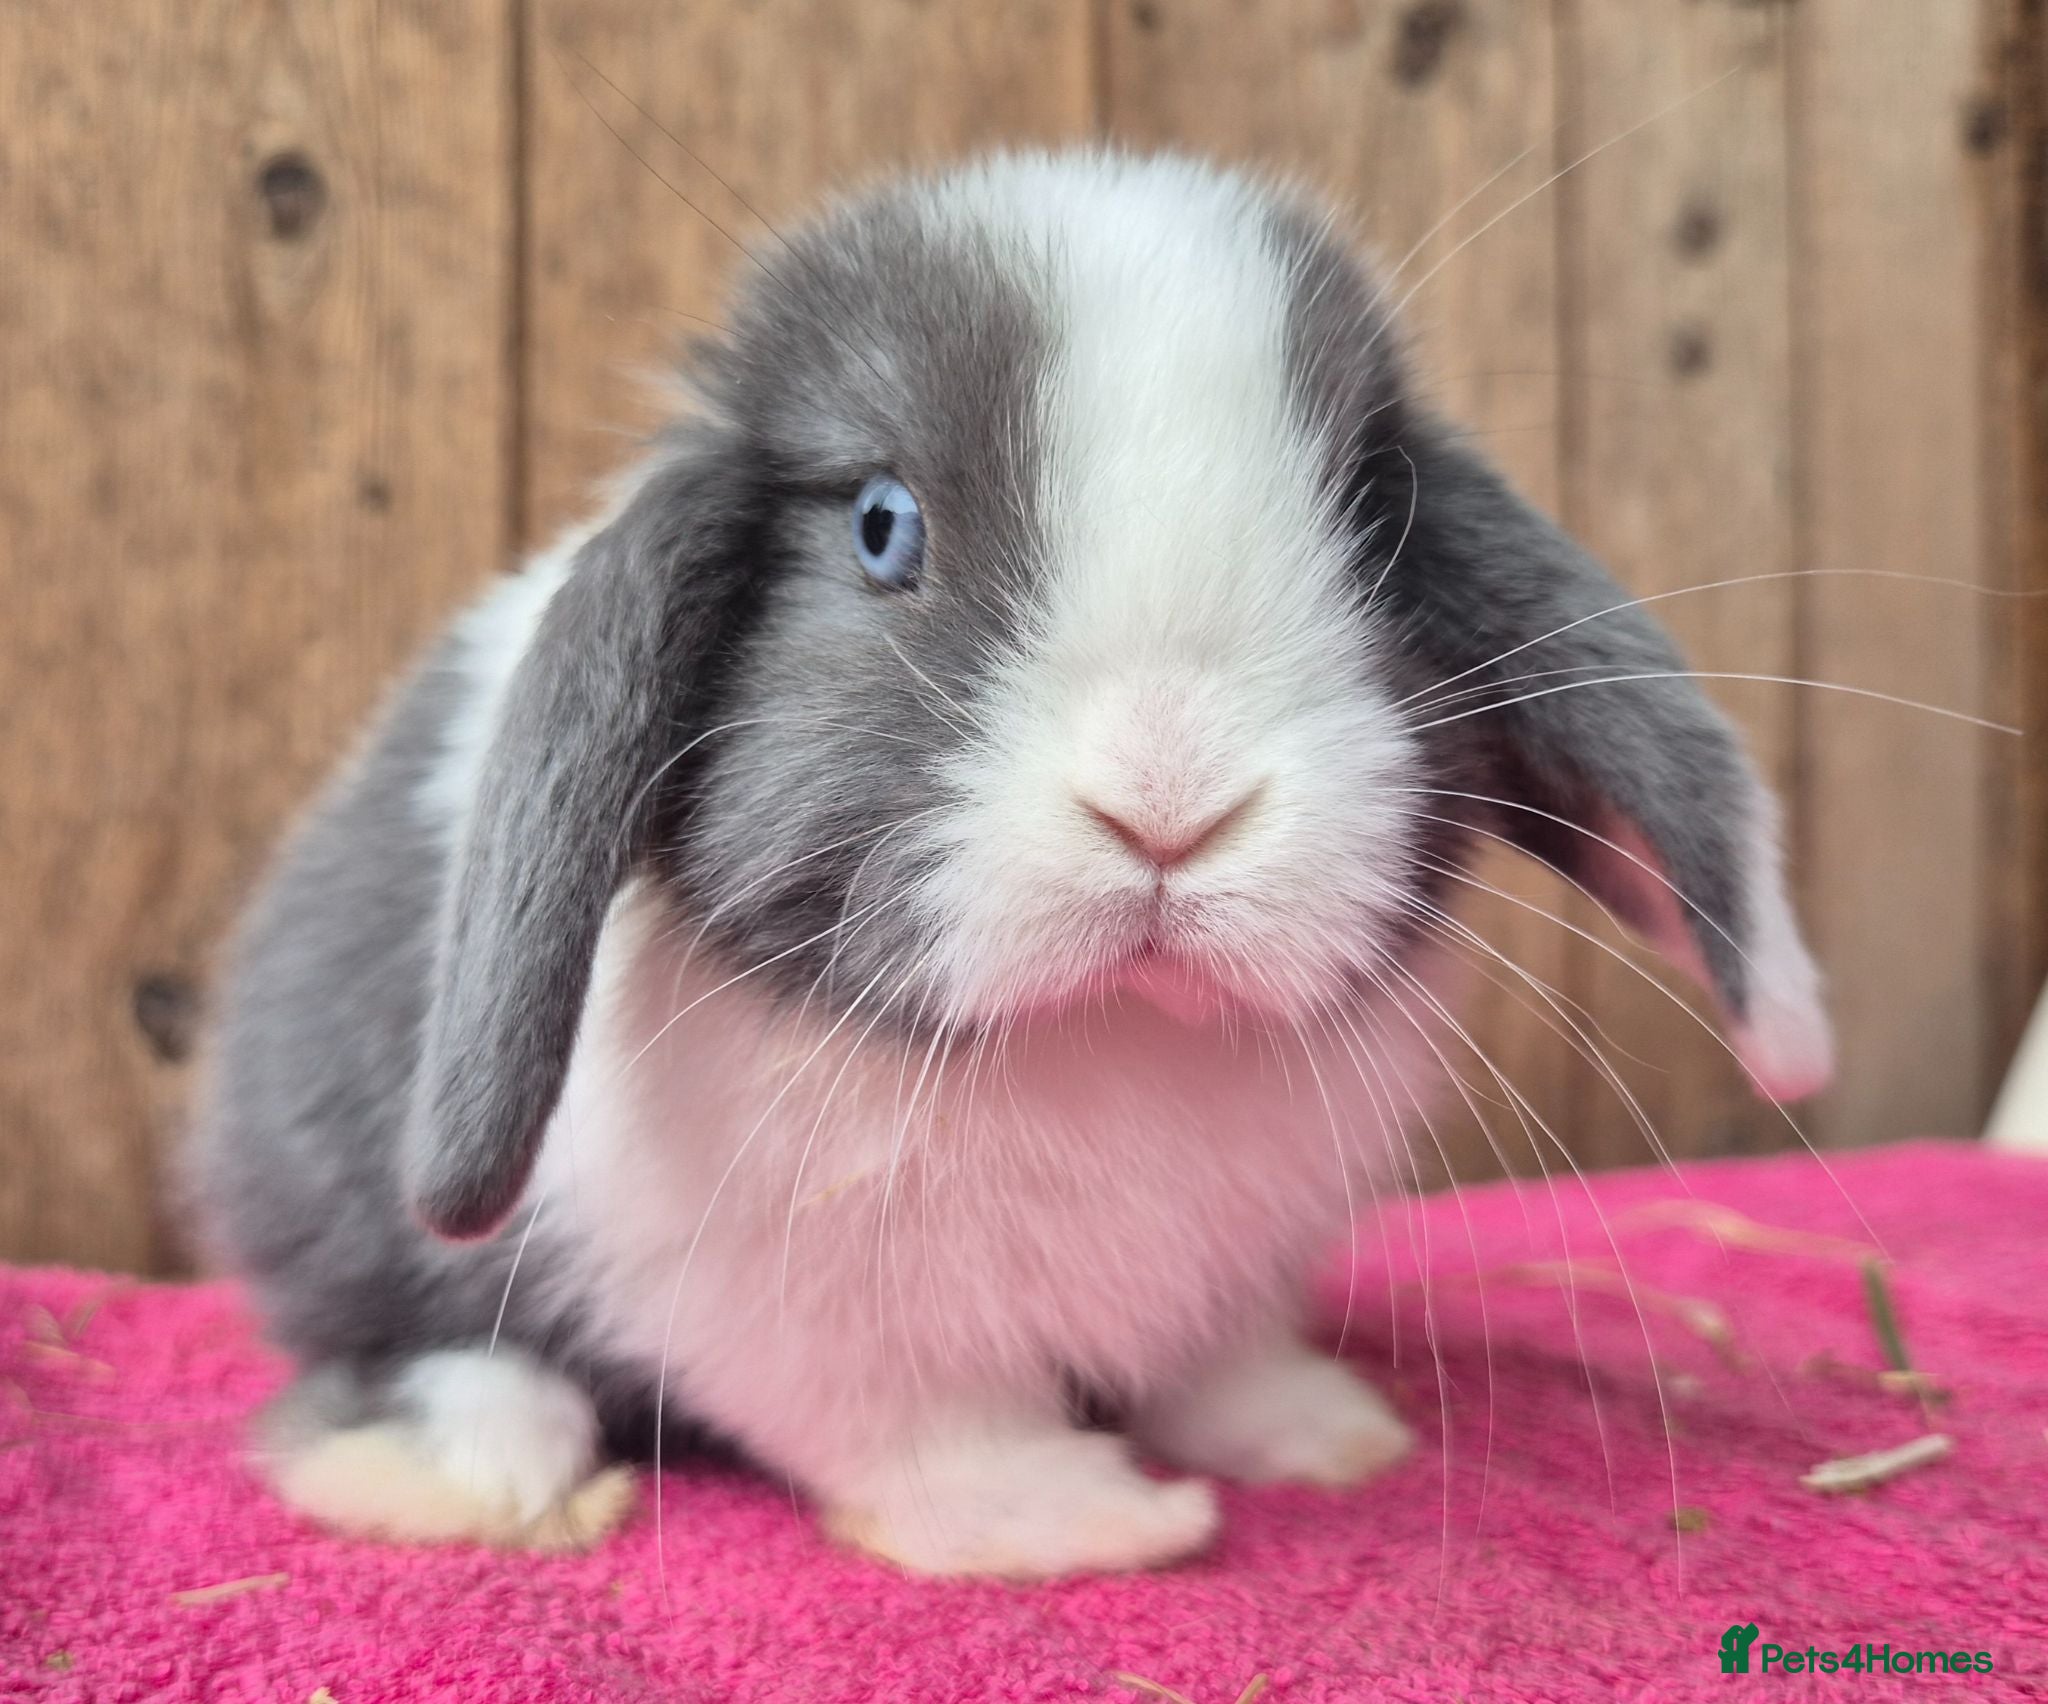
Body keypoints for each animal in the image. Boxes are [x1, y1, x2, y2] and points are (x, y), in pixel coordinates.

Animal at [191, 150, 1833, 1580]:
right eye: (881, 526)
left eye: (1371, 522)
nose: (1169, 804)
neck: (1101, 1040)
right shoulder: (791, 1316)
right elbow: (929, 1435)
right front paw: (1095, 1519)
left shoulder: (1232, 1269)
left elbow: (1219, 1363)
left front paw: (1320, 1436)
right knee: (403, 1346)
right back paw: (480, 1478)